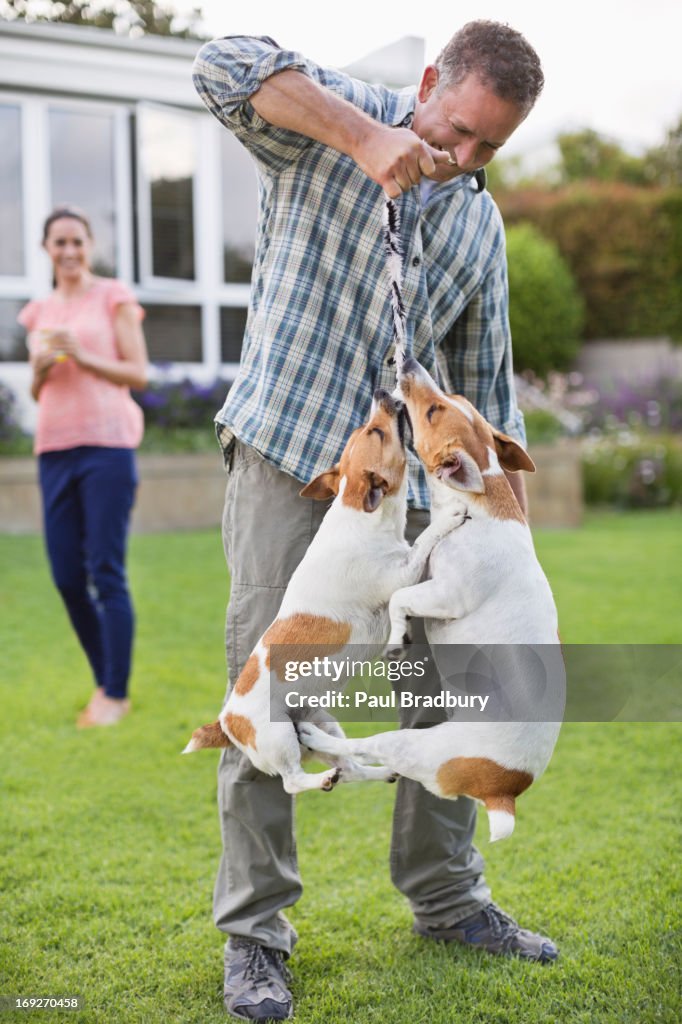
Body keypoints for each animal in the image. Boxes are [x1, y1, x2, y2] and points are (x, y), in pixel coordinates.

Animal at [182, 387, 462, 794]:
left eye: (366, 428)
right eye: (376, 432)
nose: (380, 390)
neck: (360, 515)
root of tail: (225, 723)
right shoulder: (399, 573)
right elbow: (424, 540)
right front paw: (450, 517)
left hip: (320, 720)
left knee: (351, 768)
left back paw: (380, 770)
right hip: (278, 735)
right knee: (293, 781)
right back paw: (321, 779)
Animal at [301, 358, 561, 839]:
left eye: (433, 411)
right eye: (451, 400)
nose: (409, 363)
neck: (478, 500)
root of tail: (505, 791)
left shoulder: (448, 594)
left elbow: (401, 597)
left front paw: (397, 638)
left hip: (414, 744)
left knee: (366, 747)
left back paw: (315, 737)